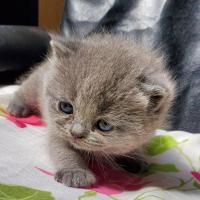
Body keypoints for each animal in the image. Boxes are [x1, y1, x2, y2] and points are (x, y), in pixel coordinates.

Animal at [7, 33, 174, 188]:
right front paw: (75, 172)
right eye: (66, 107)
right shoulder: (56, 132)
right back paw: (16, 107)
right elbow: (63, 150)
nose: (76, 133)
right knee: (26, 88)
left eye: (104, 125)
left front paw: (136, 157)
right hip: (37, 82)